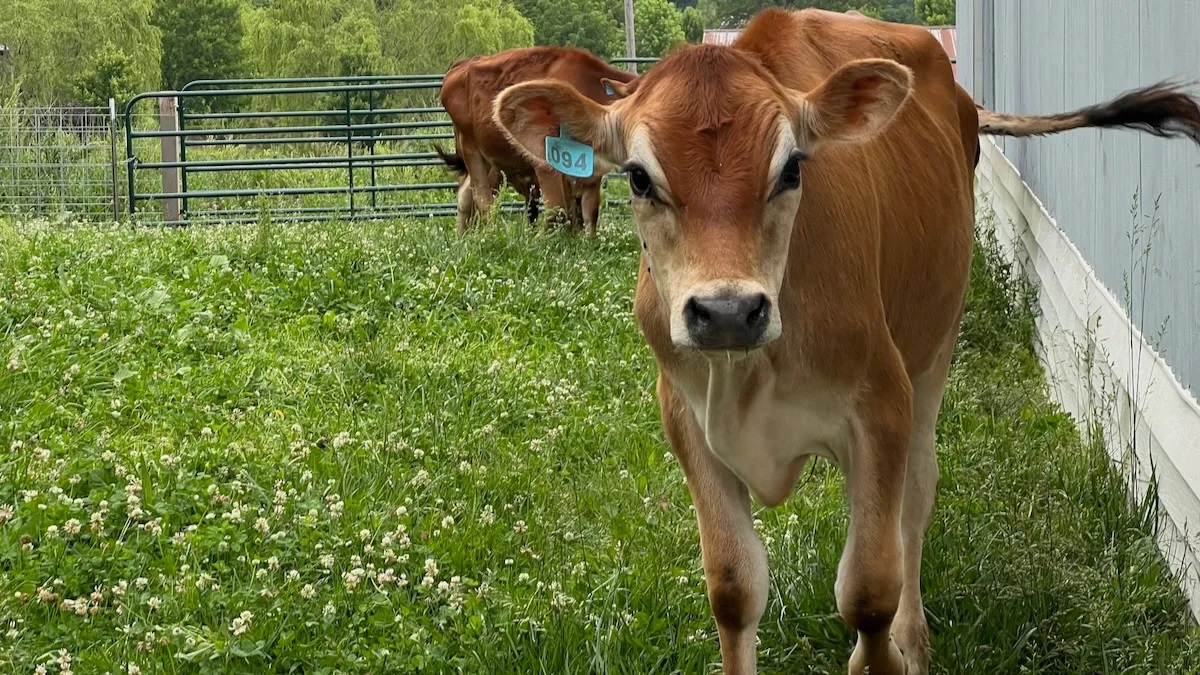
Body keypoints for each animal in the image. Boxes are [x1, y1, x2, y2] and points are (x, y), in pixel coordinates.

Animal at [436, 47, 639, 236]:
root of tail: (463, 64)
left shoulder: (591, 174)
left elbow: (588, 214)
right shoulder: (547, 162)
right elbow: (558, 211)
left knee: (465, 195)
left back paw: (465, 236)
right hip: (471, 148)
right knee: (482, 198)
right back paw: (491, 234)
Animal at [492, 7, 1200, 675]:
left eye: (791, 168)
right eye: (639, 178)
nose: (727, 312)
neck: (750, 373)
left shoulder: (880, 402)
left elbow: (868, 589)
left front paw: (885, 655)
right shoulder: (685, 418)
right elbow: (733, 588)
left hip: (933, 347)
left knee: (914, 497)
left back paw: (911, 638)